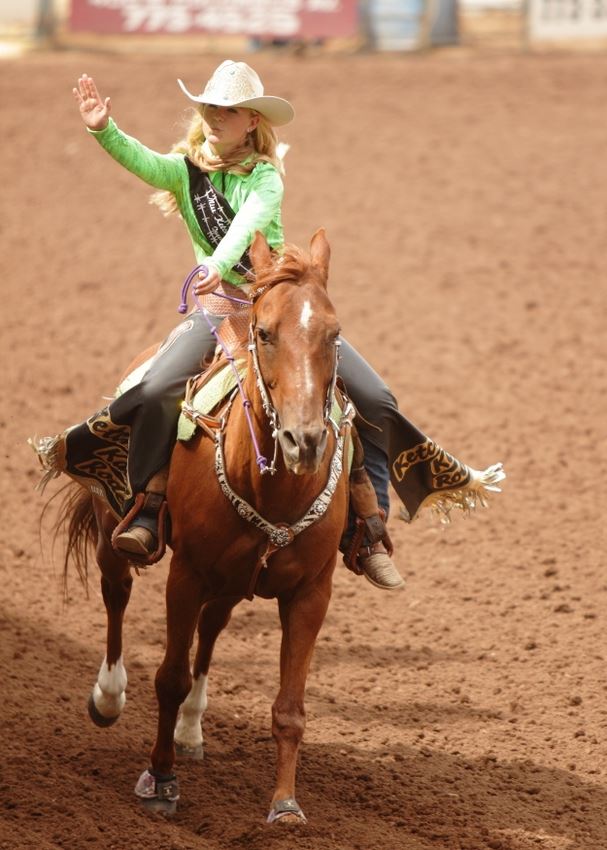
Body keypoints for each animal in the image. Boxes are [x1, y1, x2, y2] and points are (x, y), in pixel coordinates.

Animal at [56, 229, 353, 823]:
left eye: (333, 335)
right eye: (264, 333)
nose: (305, 442)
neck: (272, 491)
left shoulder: (311, 593)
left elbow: (290, 707)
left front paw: (285, 805)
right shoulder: (186, 575)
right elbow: (168, 676)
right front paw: (160, 780)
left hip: (234, 580)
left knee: (213, 629)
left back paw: (192, 731)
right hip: (113, 530)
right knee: (116, 592)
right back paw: (109, 696)